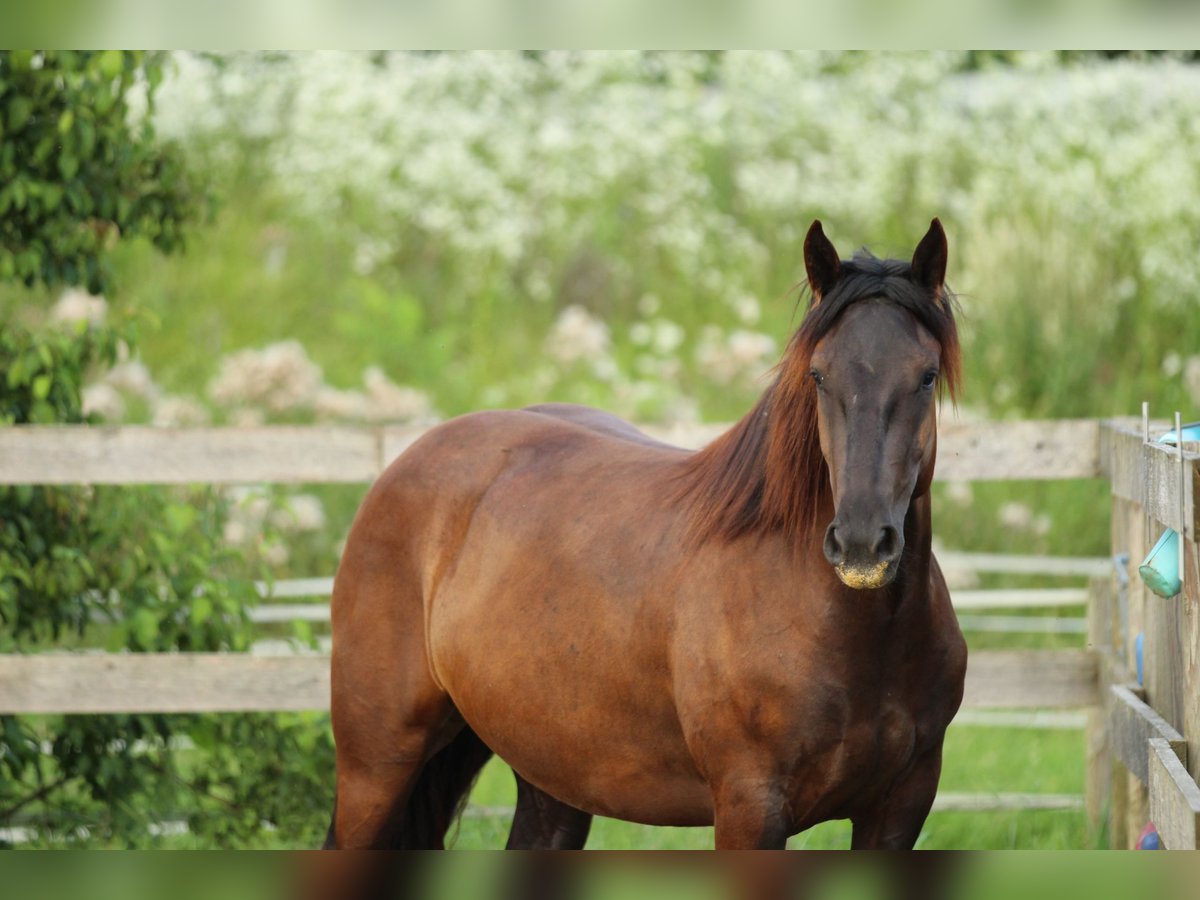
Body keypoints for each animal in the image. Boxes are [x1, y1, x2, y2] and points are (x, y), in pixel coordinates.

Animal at [324, 218, 969, 854]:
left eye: (926, 376)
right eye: (818, 374)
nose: (861, 546)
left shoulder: (900, 809)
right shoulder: (750, 806)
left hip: (552, 771)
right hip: (376, 765)